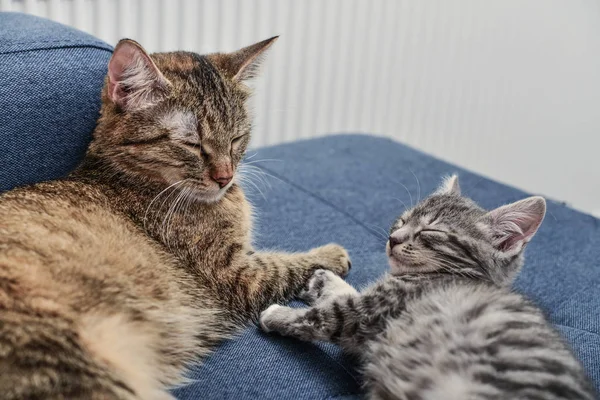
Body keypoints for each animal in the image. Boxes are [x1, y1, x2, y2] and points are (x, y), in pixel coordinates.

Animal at [0, 38, 352, 400]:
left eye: (237, 138)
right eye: (193, 144)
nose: (226, 177)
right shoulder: (238, 275)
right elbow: (284, 265)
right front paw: (331, 255)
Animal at [260, 176, 592, 400]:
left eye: (430, 231)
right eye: (402, 220)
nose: (393, 238)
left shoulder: (365, 316)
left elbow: (329, 314)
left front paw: (277, 315)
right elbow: (347, 292)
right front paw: (322, 279)